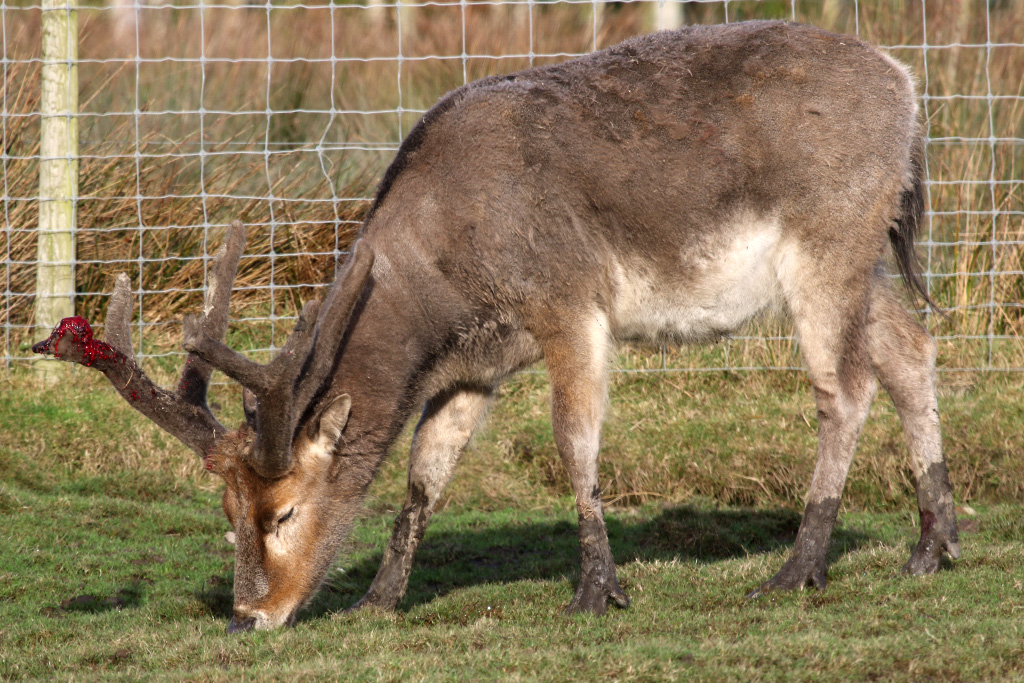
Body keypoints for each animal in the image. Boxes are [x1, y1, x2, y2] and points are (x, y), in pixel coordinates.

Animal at [35, 21, 961, 632]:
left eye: (285, 511)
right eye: (226, 510)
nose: (248, 615)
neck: (444, 292)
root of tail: (911, 92)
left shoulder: (569, 303)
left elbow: (574, 442)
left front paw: (597, 588)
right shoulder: (477, 366)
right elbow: (424, 473)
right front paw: (378, 597)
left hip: (827, 239)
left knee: (845, 386)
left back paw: (797, 567)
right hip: (868, 253)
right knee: (912, 348)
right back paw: (934, 543)